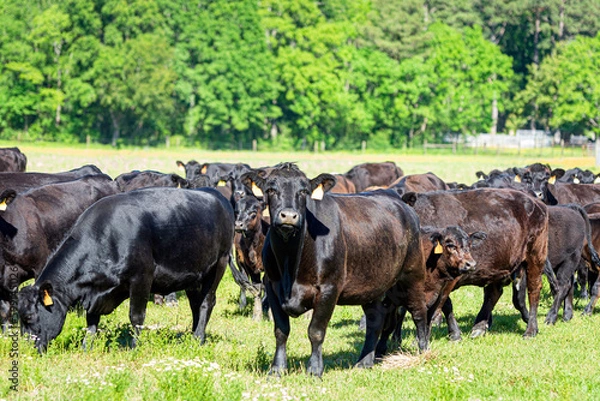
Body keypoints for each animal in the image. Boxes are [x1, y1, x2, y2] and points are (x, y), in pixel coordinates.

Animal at [18, 186, 234, 352]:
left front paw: (133, 347)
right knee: (195, 304)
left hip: (219, 264)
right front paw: (86, 348)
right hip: (194, 276)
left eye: (28, 317)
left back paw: (198, 338)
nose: (27, 349)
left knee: (207, 302)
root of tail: (216, 194)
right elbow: (91, 321)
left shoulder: (142, 277)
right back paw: (194, 335)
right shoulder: (96, 294)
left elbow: (136, 316)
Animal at [241, 162, 428, 376]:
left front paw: (314, 370)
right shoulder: (272, 285)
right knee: (375, 319)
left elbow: (316, 331)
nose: (288, 216)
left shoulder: (328, 289)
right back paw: (364, 361)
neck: (291, 259)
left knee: (419, 312)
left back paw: (423, 352)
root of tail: (403, 205)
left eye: (303, 191)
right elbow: (281, 330)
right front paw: (277, 369)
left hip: (413, 275)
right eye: (271, 189)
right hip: (371, 285)